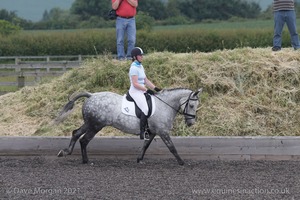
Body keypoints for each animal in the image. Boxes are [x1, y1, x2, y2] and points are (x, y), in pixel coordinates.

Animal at [56, 88, 202, 166]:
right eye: (191, 105)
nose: (191, 123)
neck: (164, 106)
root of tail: (91, 95)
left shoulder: (153, 132)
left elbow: (145, 146)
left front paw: (139, 159)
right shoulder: (163, 132)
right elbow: (172, 148)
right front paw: (181, 162)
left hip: (90, 124)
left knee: (76, 133)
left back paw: (66, 152)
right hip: (96, 125)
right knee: (84, 139)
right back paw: (85, 160)